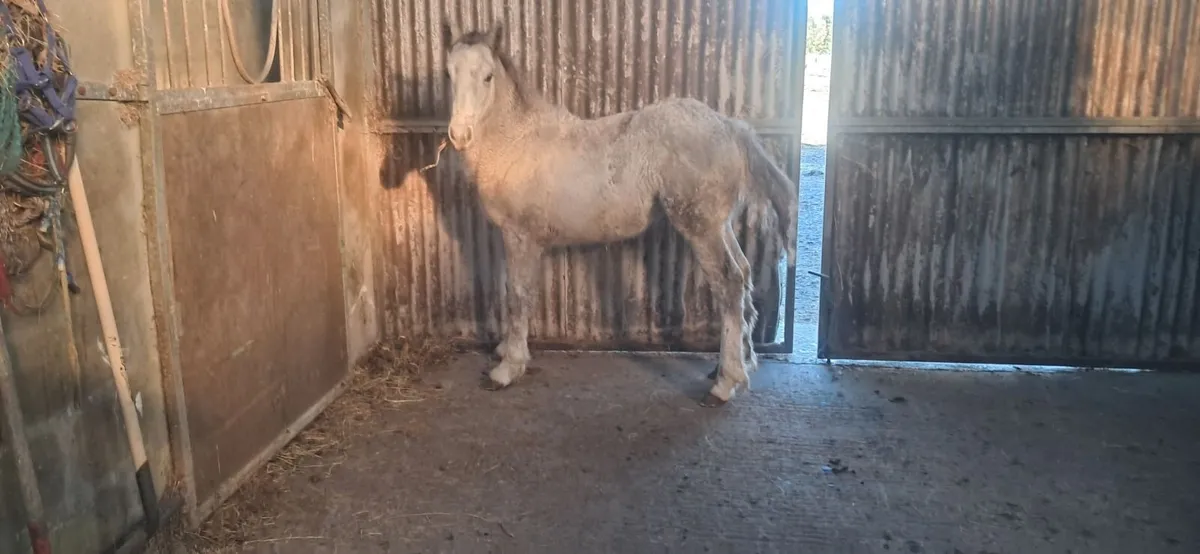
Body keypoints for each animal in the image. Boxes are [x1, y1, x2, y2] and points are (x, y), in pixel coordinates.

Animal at [441, 22, 797, 406]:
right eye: (449, 74)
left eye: (488, 76)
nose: (460, 134)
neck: (515, 142)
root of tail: (729, 126)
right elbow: (511, 291)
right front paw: (505, 351)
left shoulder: (520, 237)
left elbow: (518, 295)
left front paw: (508, 369)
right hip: (720, 226)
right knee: (744, 273)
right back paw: (734, 365)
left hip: (701, 227)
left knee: (729, 282)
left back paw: (724, 384)